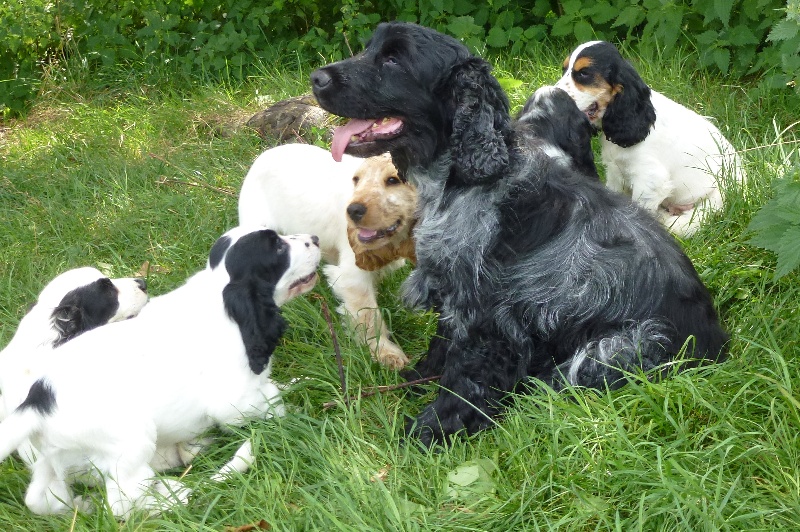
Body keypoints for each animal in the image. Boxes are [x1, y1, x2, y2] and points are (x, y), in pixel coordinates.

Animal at [0, 227, 320, 516]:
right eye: (277, 247)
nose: (315, 239)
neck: (217, 298)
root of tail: (38, 402)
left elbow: (273, 387)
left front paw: (302, 382)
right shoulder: (232, 402)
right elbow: (274, 403)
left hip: (52, 458)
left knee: (43, 498)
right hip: (131, 439)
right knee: (122, 502)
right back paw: (185, 492)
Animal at [552, 39, 748, 235]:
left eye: (584, 73)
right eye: (564, 69)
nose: (554, 94)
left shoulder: (650, 179)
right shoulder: (615, 172)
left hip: (711, 204)